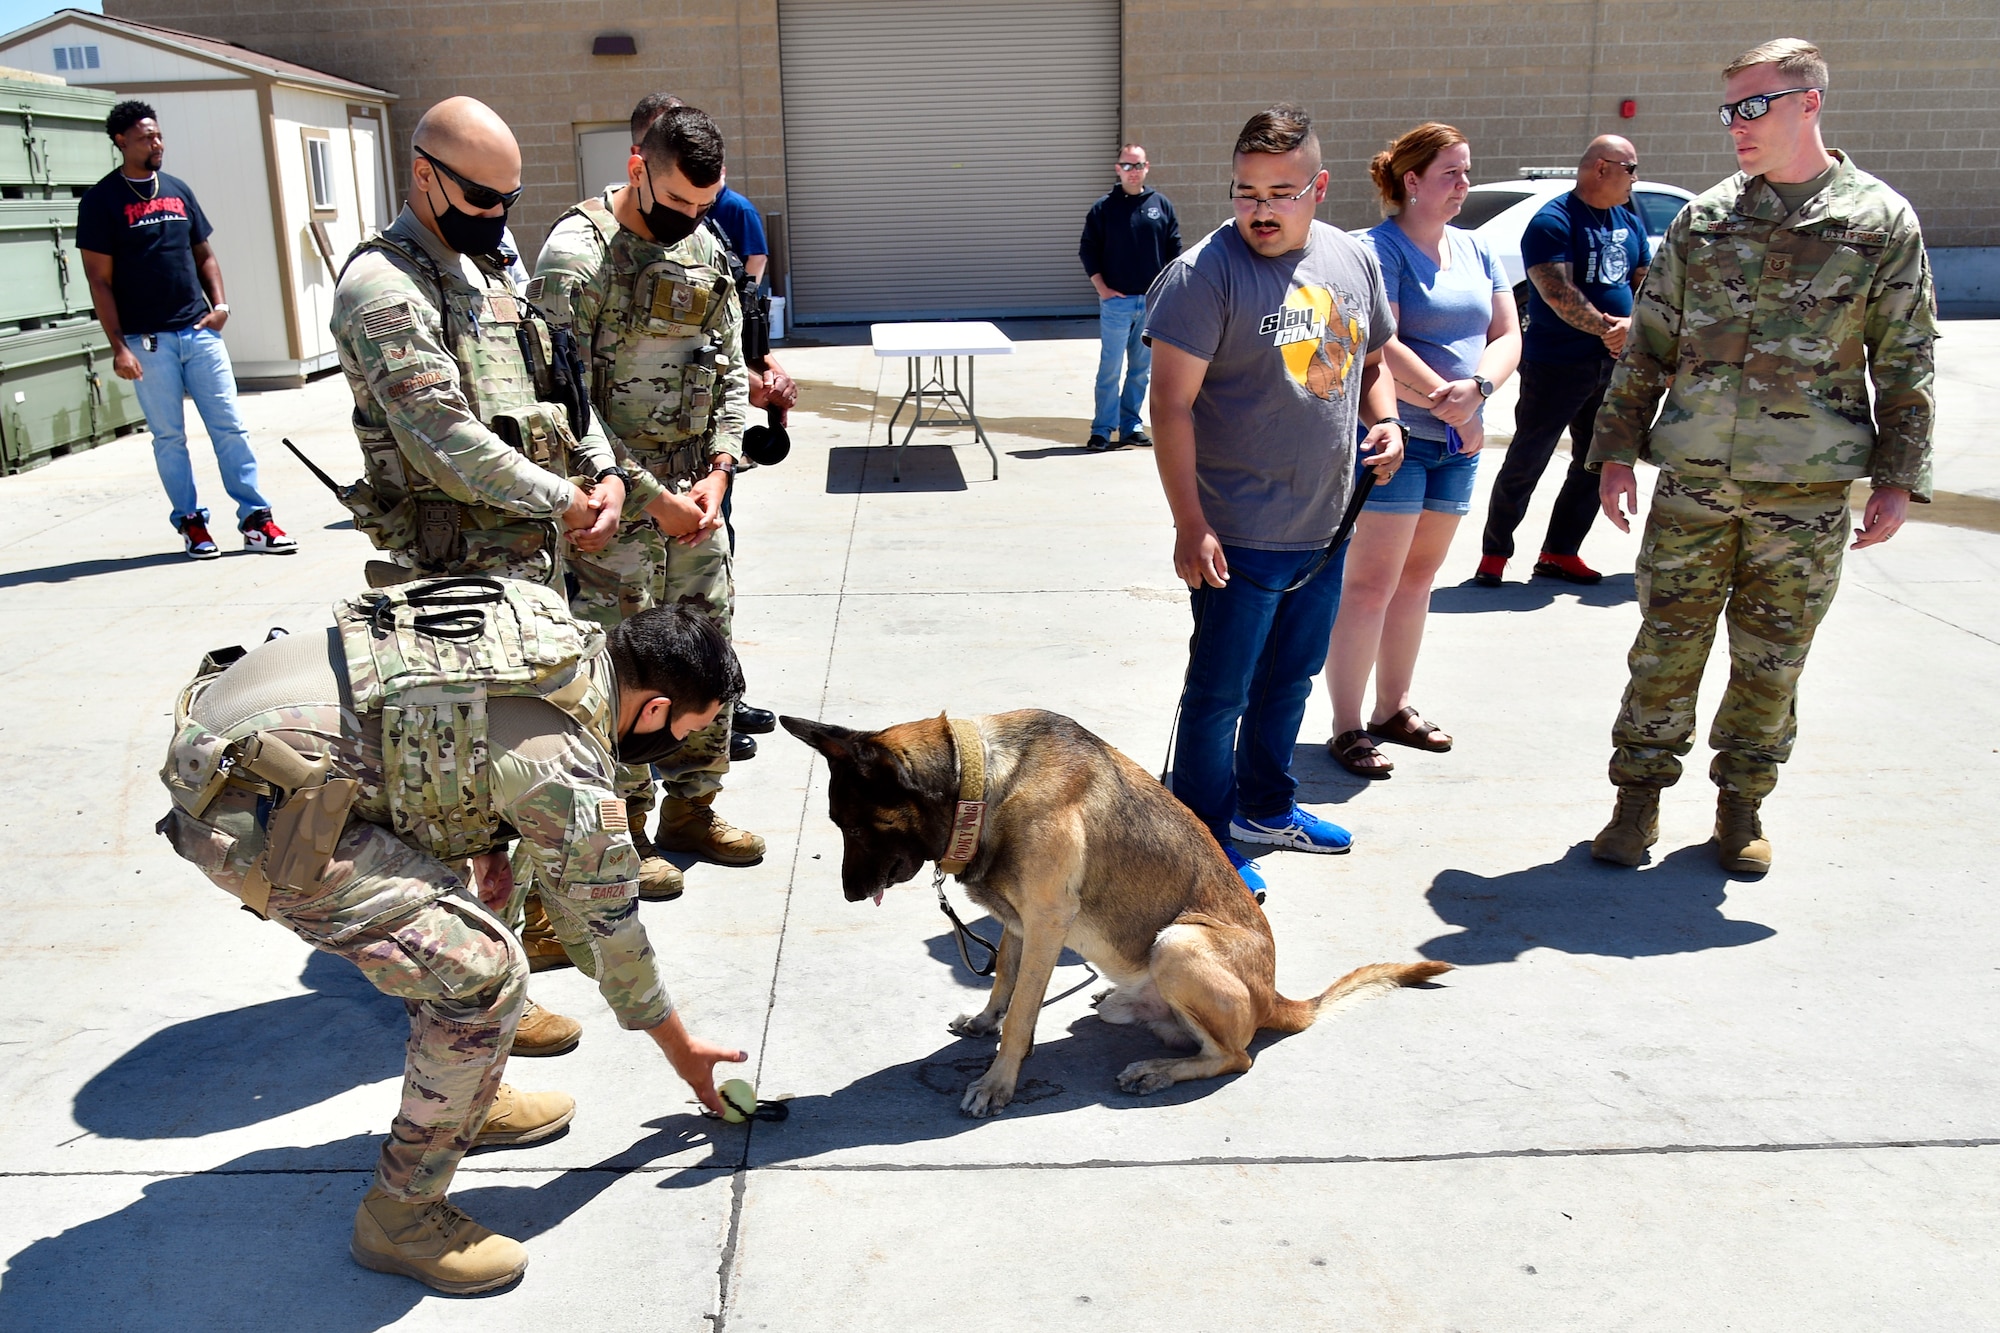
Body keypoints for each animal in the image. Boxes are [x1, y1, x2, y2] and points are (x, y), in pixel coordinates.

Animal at [772, 704, 1448, 1112]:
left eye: (851, 827)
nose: (848, 894)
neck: (980, 782)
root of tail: (1276, 999)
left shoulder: (1045, 924)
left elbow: (1022, 1015)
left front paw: (997, 1081)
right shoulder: (1017, 924)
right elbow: (1003, 985)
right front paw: (985, 1021)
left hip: (1178, 943)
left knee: (1235, 1056)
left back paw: (1159, 1070)